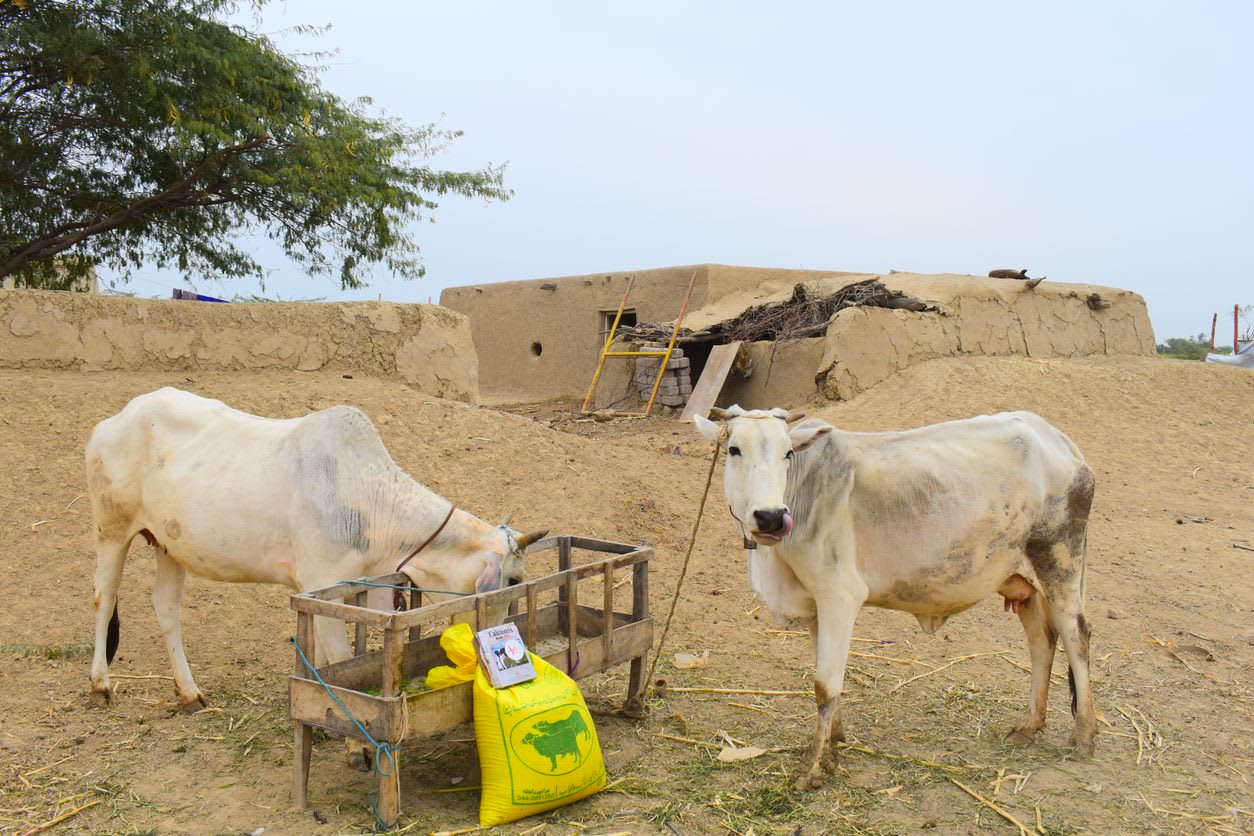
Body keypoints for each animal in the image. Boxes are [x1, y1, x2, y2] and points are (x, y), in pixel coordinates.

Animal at [83, 388, 544, 716]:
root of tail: (112, 421)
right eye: (514, 579)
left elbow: (327, 659)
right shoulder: (324, 584)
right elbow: (337, 658)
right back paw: (101, 684)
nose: (498, 643)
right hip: (111, 528)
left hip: (168, 545)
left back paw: (189, 692)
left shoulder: (373, 589)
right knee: (104, 598)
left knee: (165, 607)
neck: (373, 501)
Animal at [692, 406, 1093, 792]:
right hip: (1023, 581)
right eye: (734, 450)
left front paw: (812, 769)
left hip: (1059, 564)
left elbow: (825, 687)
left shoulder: (839, 596)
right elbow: (830, 682)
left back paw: (1085, 732)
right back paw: (1030, 725)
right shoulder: (817, 608)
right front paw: (833, 748)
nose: (772, 517)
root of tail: (1056, 439)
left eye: (787, 452)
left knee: (1077, 639)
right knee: (1042, 641)